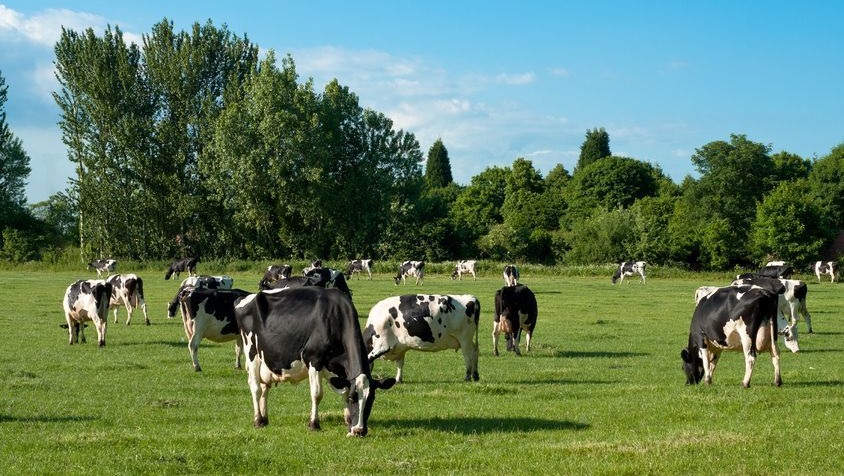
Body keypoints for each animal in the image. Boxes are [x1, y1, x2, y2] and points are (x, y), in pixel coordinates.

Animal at [234, 284, 396, 436]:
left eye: (372, 399)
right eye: (353, 398)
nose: (359, 430)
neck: (335, 318)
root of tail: (247, 297)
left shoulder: (339, 371)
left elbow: (343, 390)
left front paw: (349, 422)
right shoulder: (313, 360)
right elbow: (317, 394)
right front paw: (314, 424)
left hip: (267, 360)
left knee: (264, 388)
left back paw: (264, 418)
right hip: (252, 353)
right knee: (255, 387)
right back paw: (258, 420)